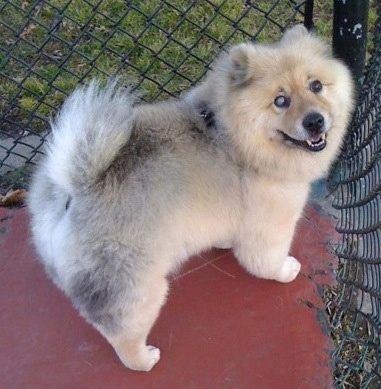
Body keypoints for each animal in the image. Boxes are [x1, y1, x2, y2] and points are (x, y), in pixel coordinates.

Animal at [29, 25, 354, 372]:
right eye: (281, 101)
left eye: (316, 85)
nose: (315, 120)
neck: (235, 136)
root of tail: (75, 189)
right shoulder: (269, 224)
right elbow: (266, 260)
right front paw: (285, 270)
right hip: (138, 287)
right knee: (123, 335)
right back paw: (144, 359)